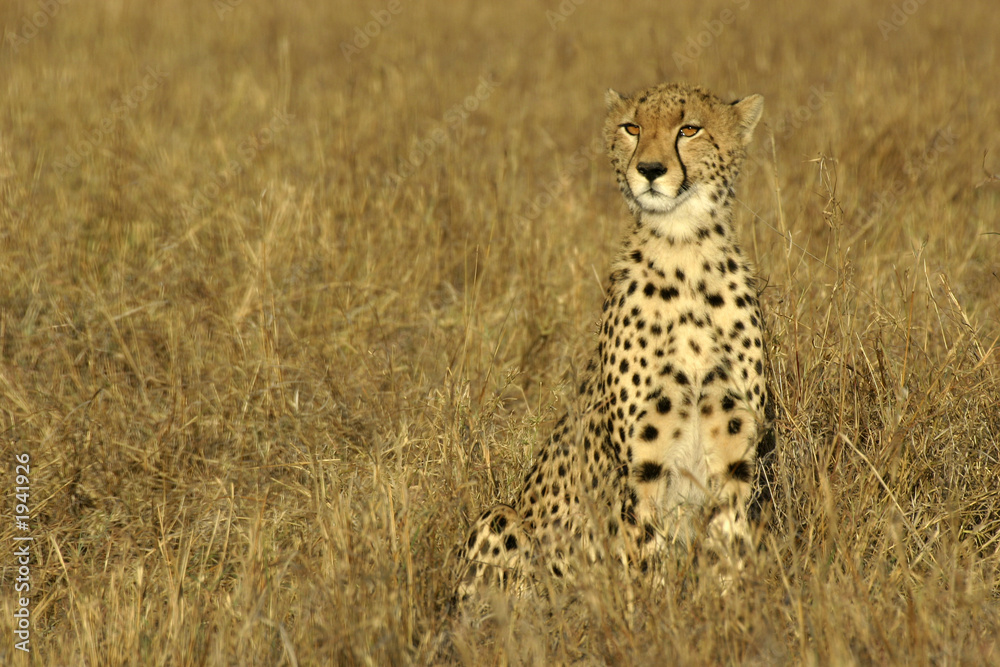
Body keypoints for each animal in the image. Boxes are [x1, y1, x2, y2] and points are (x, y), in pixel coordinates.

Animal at [454, 81, 776, 605]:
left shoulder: (733, 456)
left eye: (690, 129)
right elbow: (645, 557)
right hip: (502, 518)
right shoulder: (641, 466)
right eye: (632, 127)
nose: (650, 169)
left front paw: (729, 610)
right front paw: (652, 614)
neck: (685, 249)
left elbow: (728, 552)